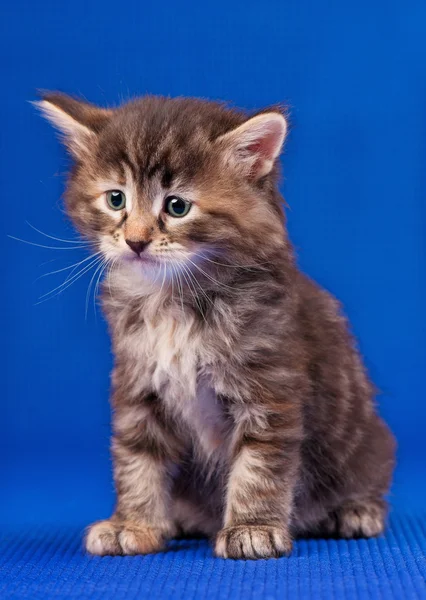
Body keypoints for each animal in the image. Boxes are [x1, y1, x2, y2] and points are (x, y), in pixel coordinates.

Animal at [36, 91, 396, 560]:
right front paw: (133, 523)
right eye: (116, 200)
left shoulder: (269, 388)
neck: (173, 303)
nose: (135, 241)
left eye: (177, 206)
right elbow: (137, 459)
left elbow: (258, 467)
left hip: (363, 441)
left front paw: (252, 529)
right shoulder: (137, 386)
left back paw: (355, 511)